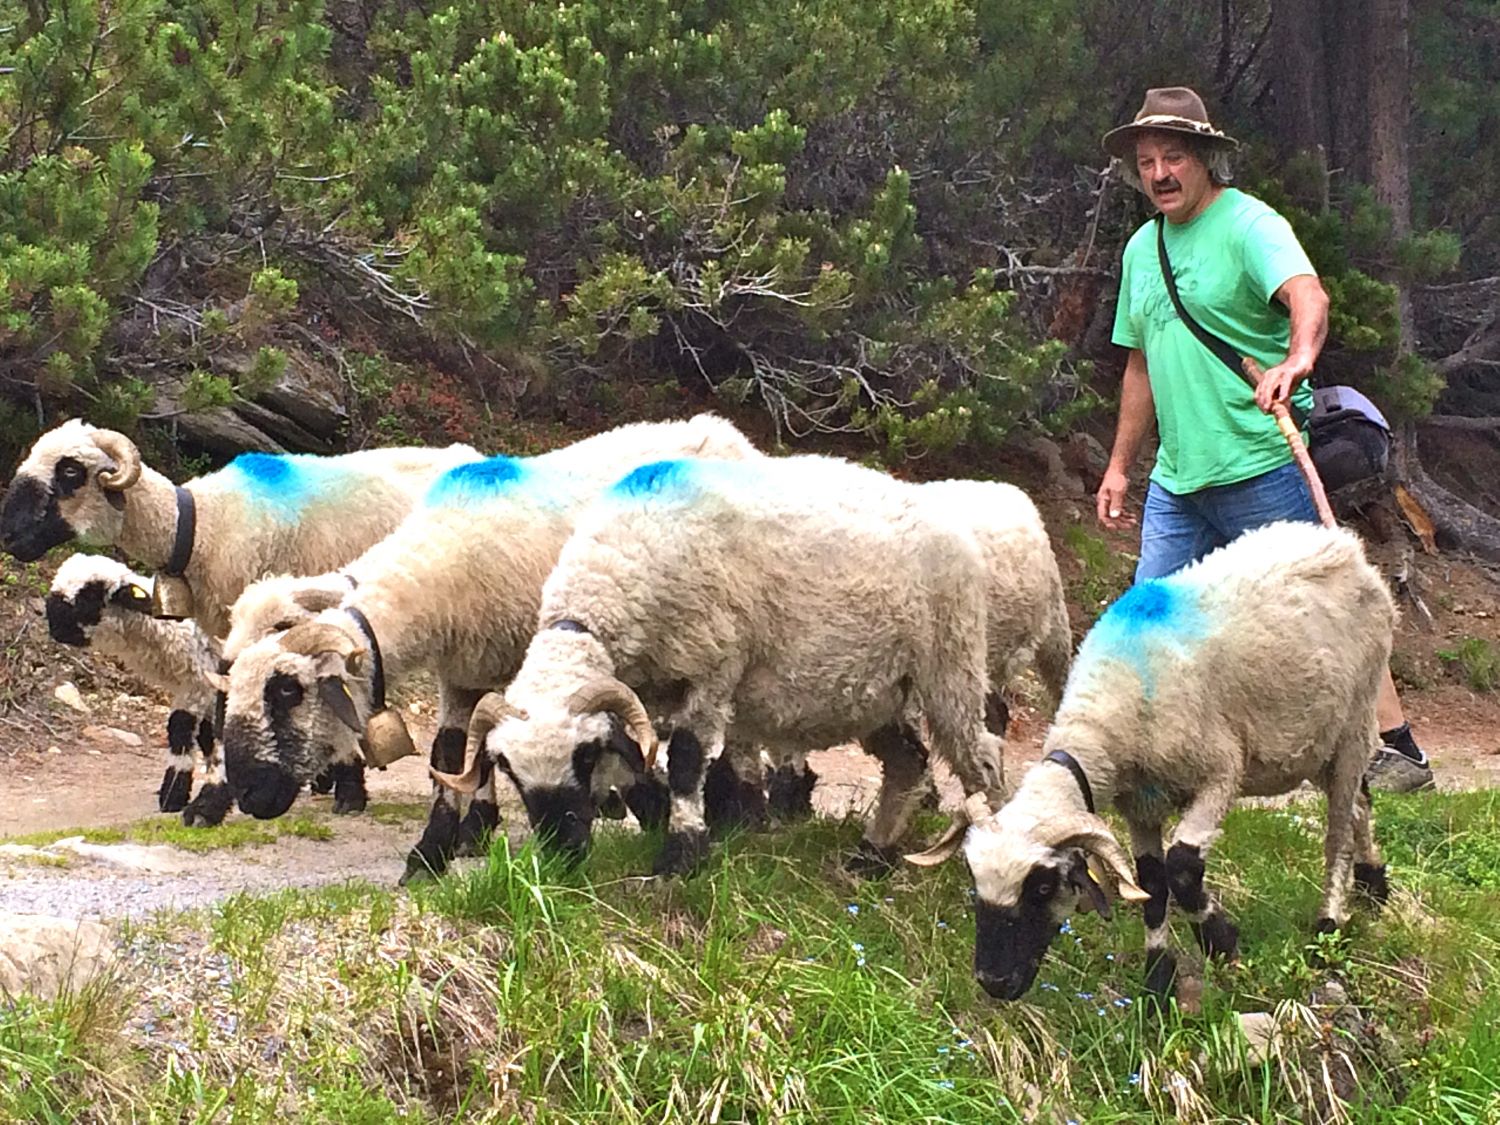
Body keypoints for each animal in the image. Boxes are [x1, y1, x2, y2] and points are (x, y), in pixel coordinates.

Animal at [438, 453, 1020, 876]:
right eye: (508, 770)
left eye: (585, 755)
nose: (562, 852)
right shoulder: (653, 690)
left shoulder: (712, 667)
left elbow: (687, 761)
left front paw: (680, 858)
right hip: (876, 692)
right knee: (908, 763)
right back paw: (870, 859)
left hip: (949, 666)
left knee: (983, 757)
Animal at [906, 525, 1398, 1008]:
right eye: (975, 882)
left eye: (1042, 888)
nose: (994, 982)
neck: (1105, 718)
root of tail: (1345, 545)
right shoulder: (1140, 806)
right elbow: (1151, 882)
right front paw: (1158, 978)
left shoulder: (1220, 774)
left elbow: (1181, 869)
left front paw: (1222, 941)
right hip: (1315, 746)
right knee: (1359, 805)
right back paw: (1374, 884)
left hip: (1356, 720)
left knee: (1338, 831)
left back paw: (1328, 928)